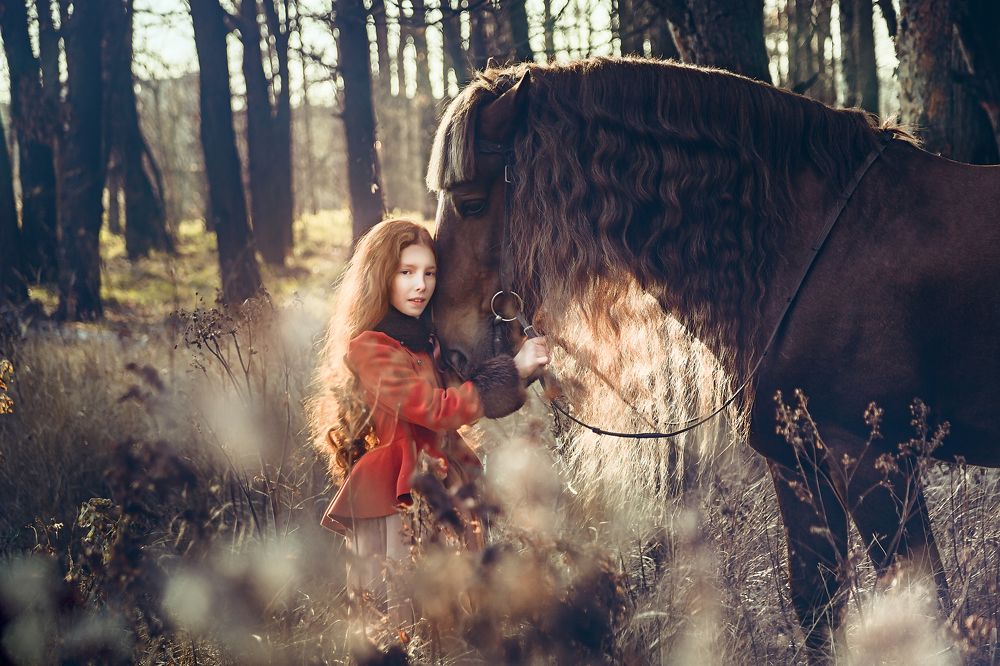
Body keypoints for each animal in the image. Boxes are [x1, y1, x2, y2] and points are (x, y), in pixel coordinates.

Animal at [425, 56, 1000, 660]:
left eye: (471, 203)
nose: (450, 346)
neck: (800, 249)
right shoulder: (797, 463)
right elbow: (819, 607)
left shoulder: (874, 458)